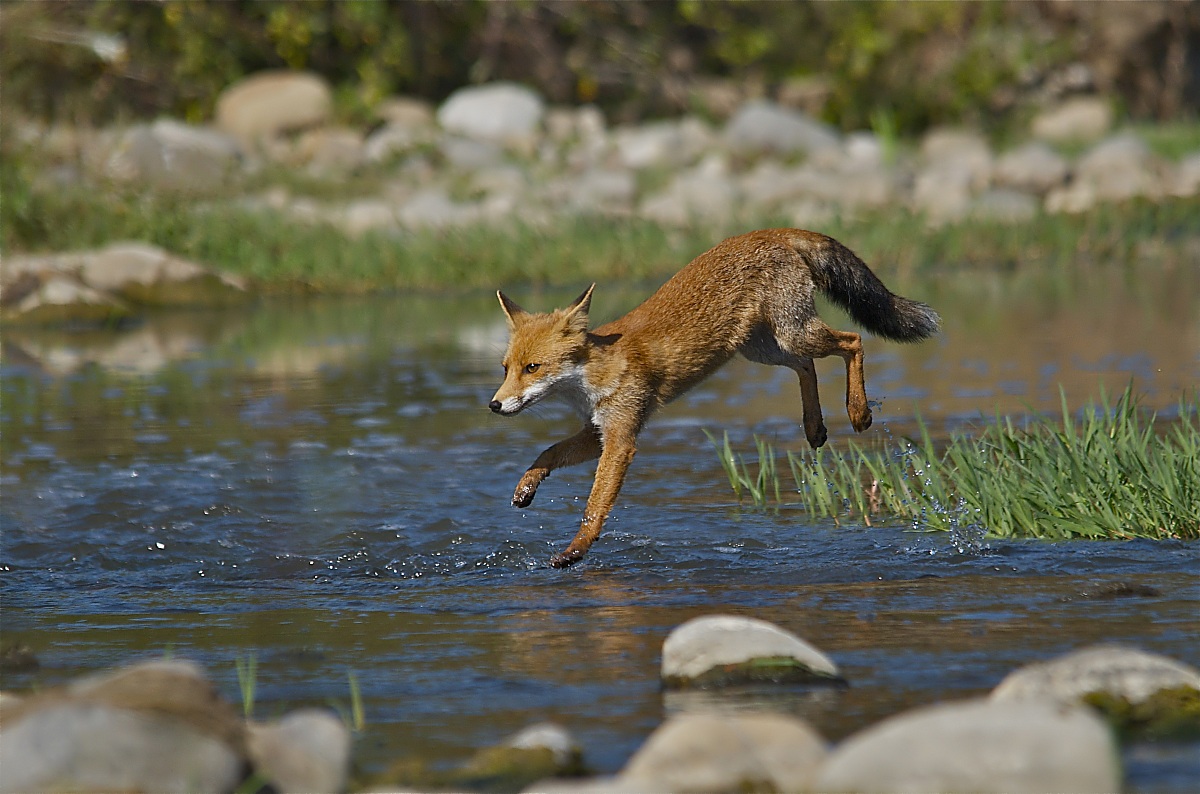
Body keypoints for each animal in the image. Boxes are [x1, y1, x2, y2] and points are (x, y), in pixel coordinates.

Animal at [490, 228, 940, 568]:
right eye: (506, 368)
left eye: (533, 368)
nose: (494, 405)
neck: (596, 372)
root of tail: (773, 230)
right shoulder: (597, 430)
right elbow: (548, 453)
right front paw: (526, 488)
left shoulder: (621, 438)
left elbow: (594, 505)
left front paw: (575, 551)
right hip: (765, 348)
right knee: (807, 366)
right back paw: (814, 427)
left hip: (791, 334)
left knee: (852, 341)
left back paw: (858, 412)